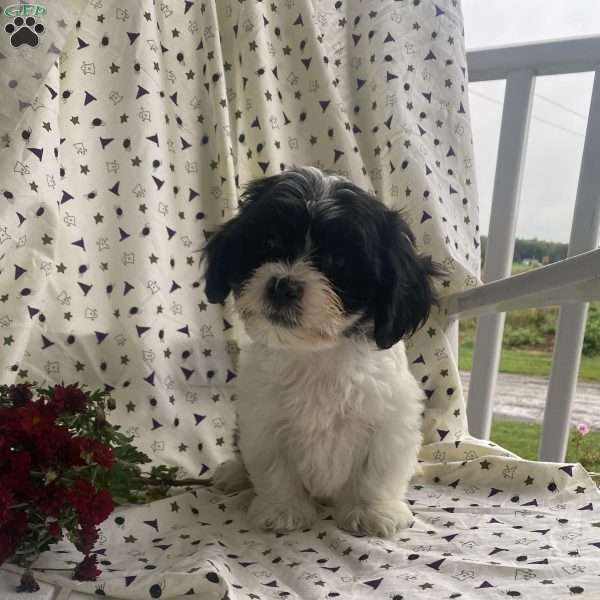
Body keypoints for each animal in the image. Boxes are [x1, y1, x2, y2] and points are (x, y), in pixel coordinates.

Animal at [204, 166, 438, 536]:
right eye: (269, 244)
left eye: (339, 261)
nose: (283, 285)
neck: (316, 354)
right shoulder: (262, 419)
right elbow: (274, 468)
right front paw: (283, 510)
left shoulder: (390, 418)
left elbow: (377, 470)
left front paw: (372, 511)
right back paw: (234, 474)